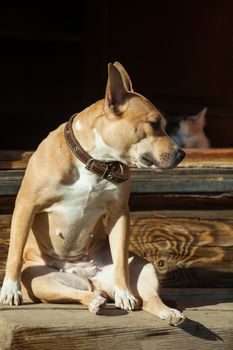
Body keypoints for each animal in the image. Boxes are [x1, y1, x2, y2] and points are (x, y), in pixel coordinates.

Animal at [0, 62, 186, 326]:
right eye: (154, 124)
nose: (182, 154)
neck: (95, 160)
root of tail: (91, 279)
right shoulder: (26, 206)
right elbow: (14, 252)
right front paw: (9, 290)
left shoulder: (120, 214)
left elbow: (121, 261)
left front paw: (124, 293)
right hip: (40, 279)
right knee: (78, 294)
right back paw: (94, 301)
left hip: (144, 267)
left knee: (148, 299)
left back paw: (166, 312)